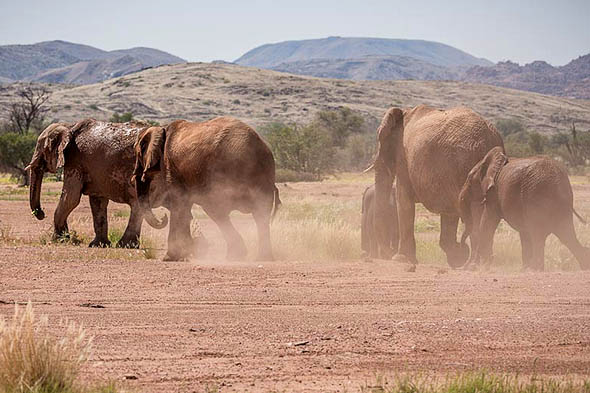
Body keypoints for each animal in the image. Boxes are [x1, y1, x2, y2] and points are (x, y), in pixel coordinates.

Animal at [27, 121, 169, 247]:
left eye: (42, 149)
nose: (41, 214)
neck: (68, 126)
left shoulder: (75, 161)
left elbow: (71, 198)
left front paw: (59, 240)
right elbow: (98, 202)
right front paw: (98, 245)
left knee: (137, 206)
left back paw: (125, 245)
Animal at [133, 115, 280, 260]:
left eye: (139, 154)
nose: (163, 217)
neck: (161, 128)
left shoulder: (170, 166)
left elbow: (179, 204)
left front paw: (169, 258)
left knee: (217, 211)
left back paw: (240, 256)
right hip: (264, 174)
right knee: (260, 214)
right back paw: (256, 257)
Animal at [374, 104, 504, 266]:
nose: (385, 253)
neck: (404, 112)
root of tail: (491, 139)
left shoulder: (404, 157)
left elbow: (403, 201)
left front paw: (401, 259)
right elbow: (449, 214)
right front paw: (458, 256)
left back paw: (474, 264)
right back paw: (482, 262)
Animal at [462, 145, 590, 272]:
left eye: (469, 178)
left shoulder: (493, 193)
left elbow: (487, 222)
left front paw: (477, 267)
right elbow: (524, 232)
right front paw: (523, 268)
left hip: (536, 195)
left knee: (539, 235)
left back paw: (535, 269)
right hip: (559, 199)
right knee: (565, 234)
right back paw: (584, 265)